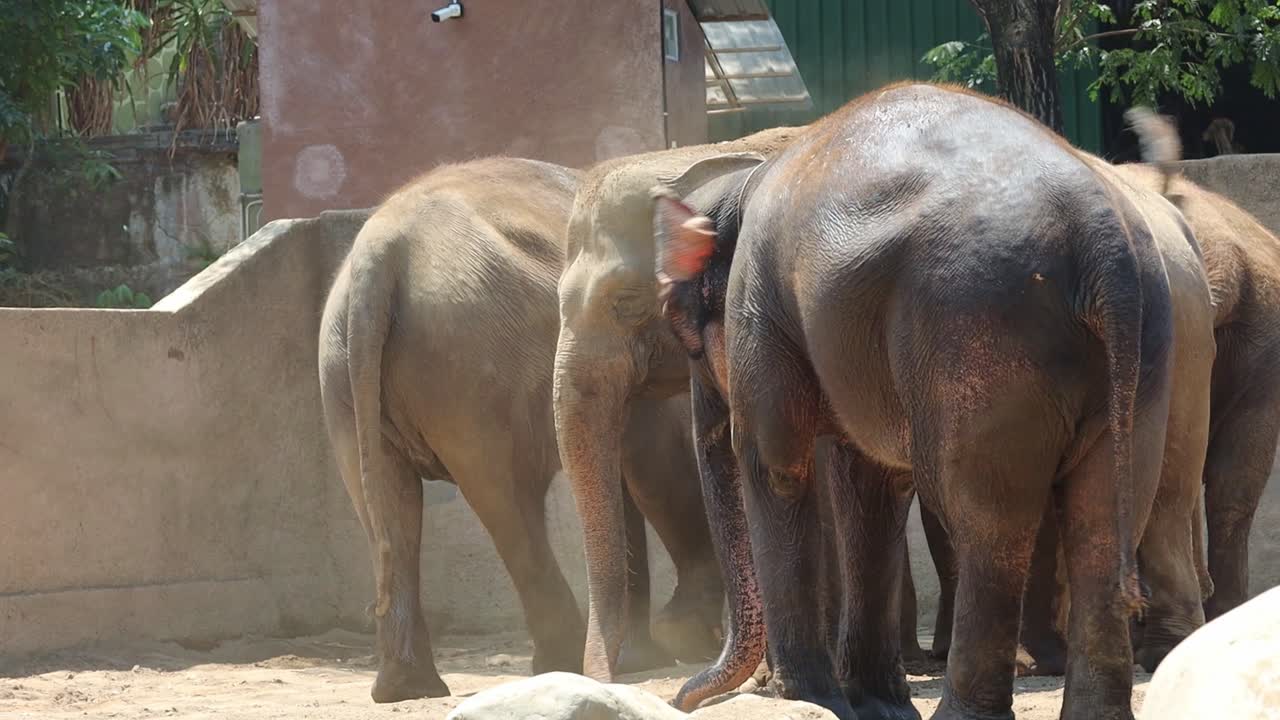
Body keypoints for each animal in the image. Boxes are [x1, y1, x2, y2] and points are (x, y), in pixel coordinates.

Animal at [317, 157, 724, 704]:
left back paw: (408, 688)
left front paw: (647, 654)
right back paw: (561, 662)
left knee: (394, 503)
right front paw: (682, 642)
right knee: (508, 499)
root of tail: (377, 256)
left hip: (349, 372)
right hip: (469, 359)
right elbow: (654, 458)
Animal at [651, 83, 1214, 720]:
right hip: (1149, 346)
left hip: (980, 326)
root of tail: (1103, 238)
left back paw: (958, 710)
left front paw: (812, 700)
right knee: (1106, 514)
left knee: (986, 517)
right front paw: (878, 708)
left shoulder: (759, 304)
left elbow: (778, 468)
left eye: (679, 324)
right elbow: (871, 486)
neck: (743, 185)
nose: (682, 697)